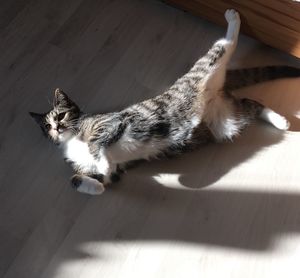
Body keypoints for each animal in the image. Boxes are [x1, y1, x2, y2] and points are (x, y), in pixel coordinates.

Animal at [29, 9, 300, 195]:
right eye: (47, 126)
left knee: (225, 45)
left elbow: (98, 145)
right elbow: (80, 178)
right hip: (227, 122)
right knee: (251, 104)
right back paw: (281, 121)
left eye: (61, 115)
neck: (71, 140)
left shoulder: (109, 123)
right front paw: (96, 187)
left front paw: (102, 161)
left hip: (206, 67)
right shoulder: (114, 172)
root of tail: (218, 89)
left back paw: (232, 19)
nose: (57, 128)